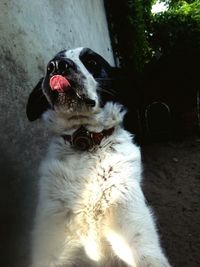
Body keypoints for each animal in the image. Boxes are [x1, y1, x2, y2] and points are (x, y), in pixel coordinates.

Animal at [26, 47, 170, 267]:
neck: (86, 143)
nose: (57, 65)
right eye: (51, 63)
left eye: (92, 62)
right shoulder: (52, 246)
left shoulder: (136, 236)